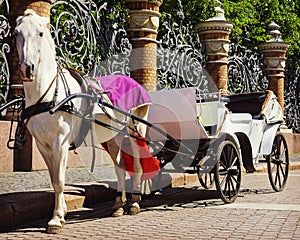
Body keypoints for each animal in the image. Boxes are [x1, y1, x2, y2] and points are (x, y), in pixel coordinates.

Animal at [14, 9, 150, 234]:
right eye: (17, 33)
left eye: (41, 33)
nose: (27, 68)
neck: (50, 95)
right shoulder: (43, 145)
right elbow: (53, 179)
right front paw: (61, 213)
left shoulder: (60, 142)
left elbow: (60, 181)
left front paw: (56, 219)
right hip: (112, 138)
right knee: (120, 168)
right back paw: (118, 205)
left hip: (135, 133)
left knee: (138, 166)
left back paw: (135, 202)